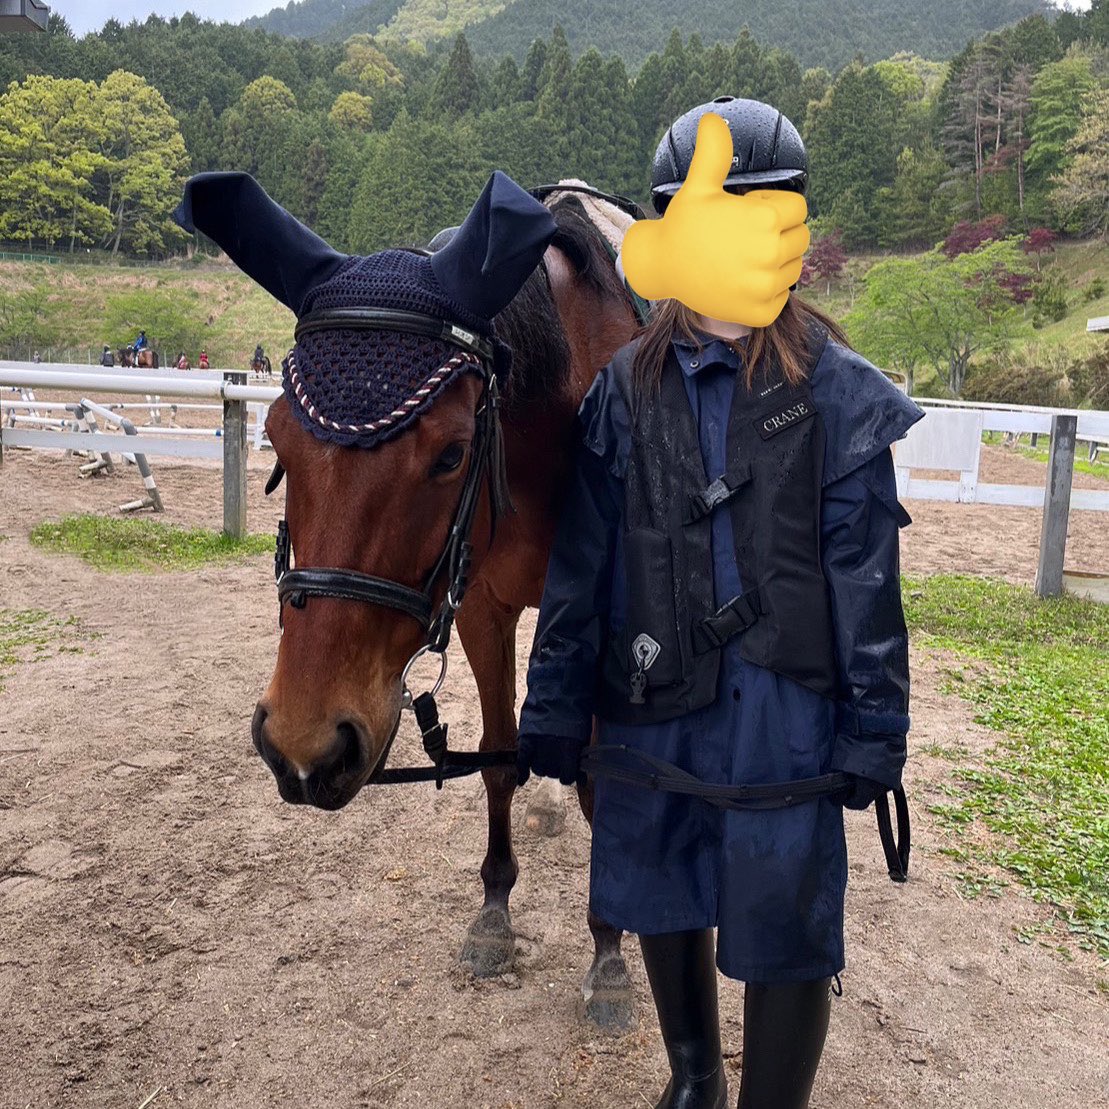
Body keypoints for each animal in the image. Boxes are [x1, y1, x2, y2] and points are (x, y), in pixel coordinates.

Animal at [253, 198, 642, 1028]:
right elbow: (497, 757)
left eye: (450, 453)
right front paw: (493, 916)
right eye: (276, 440)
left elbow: (602, 777)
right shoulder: (482, 609)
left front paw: (609, 948)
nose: (304, 743)